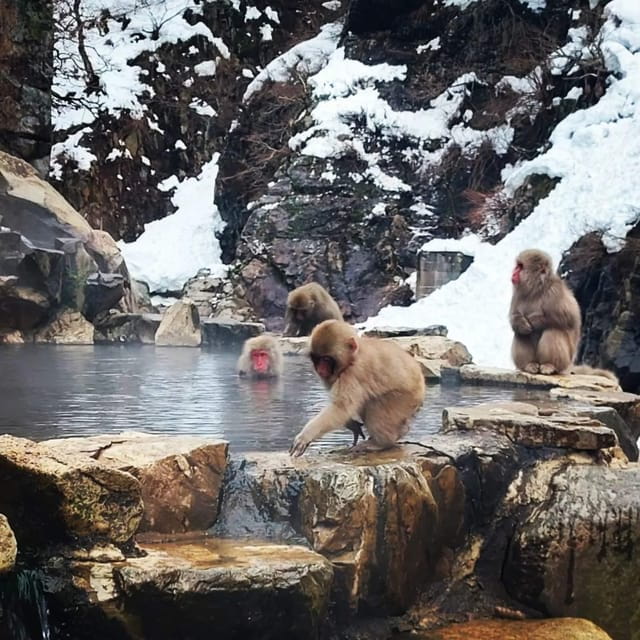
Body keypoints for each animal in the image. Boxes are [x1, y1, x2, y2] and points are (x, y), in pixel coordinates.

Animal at [289, 320, 425, 457]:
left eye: (326, 359)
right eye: (317, 359)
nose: (320, 370)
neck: (352, 358)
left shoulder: (353, 374)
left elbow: (341, 408)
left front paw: (305, 436)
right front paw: (352, 425)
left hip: (405, 398)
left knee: (376, 406)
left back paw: (381, 443)